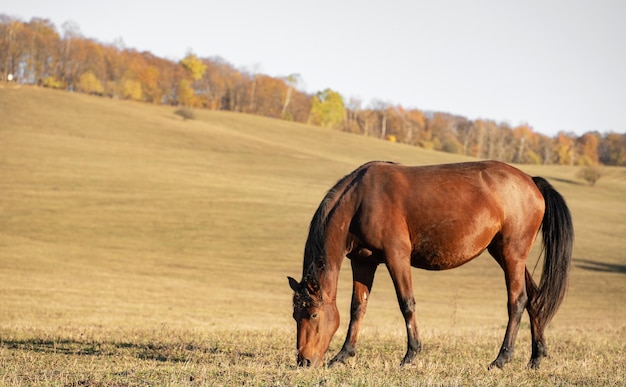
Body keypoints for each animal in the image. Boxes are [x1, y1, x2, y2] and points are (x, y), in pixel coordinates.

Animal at [288, 160, 572, 370]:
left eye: (313, 315)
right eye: (295, 315)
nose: (304, 361)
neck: (360, 201)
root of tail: (531, 181)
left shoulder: (397, 257)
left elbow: (406, 304)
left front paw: (410, 355)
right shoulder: (363, 261)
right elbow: (358, 308)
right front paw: (343, 355)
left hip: (512, 254)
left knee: (517, 301)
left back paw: (501, 358)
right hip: (505, 254)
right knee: (534, 299)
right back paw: (536, 357)